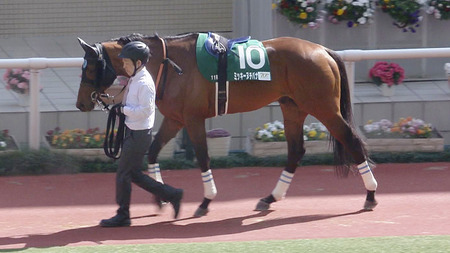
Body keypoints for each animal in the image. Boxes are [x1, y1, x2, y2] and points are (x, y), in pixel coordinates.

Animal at [75, 32, 378, 217]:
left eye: (89, 67)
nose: (81, 104)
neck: (170, 65)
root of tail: (323, 50)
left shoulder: (193, 119)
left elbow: (203, 157)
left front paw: (206, 200)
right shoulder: (175, 119)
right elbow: (152, 152)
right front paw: (162, 197)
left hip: (324, 108)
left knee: (352, 141)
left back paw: (370, 195)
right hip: (293, 108)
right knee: (295, 151)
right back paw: (270, 198)